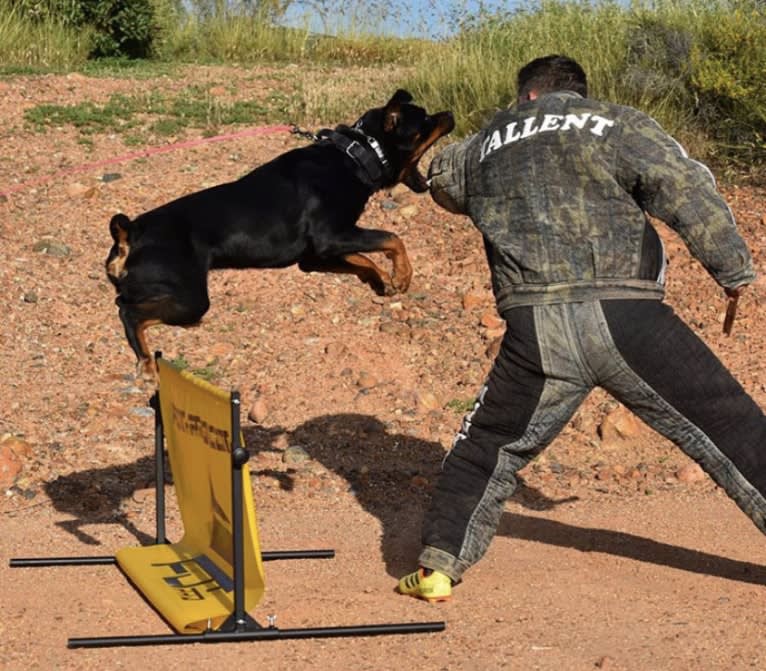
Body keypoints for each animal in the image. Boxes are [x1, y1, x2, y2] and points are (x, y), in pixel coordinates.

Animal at [108, 89, 456, 378]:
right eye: (425, 120)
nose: (450, 114)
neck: (355, 156)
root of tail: (130, 233)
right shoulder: (331, 235)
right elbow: (392, 238)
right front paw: (402, 275)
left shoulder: (318, 254)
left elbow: (364, 257)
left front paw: (383, 279)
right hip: (190, 299)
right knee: (129, 312)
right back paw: (147, 363)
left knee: (125, 301)